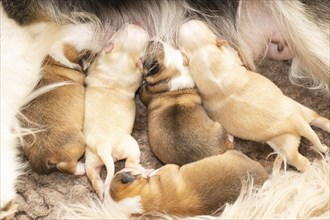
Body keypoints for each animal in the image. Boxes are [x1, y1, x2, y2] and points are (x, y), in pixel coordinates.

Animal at [84, 22, 150, 199]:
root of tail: (104, 145)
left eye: (120, 30)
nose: (137, 22)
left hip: (92, 157)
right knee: (130, 161)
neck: (122, 58)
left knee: (92, 173)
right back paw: (143, 169)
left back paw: (100, 189)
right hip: (131, 146)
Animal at [178, 19, 330, 173]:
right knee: (303, 153)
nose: (189, 20)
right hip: (290, 135)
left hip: (299, 115)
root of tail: (294, 121)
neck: (202, 51)